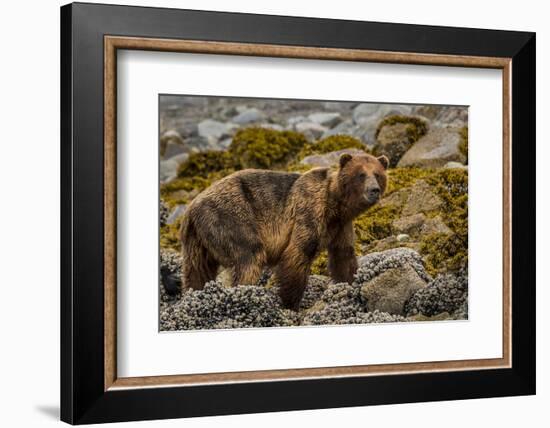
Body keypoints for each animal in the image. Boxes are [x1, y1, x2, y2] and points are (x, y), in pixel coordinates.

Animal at [179, 152, 390, 310]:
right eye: (360, 174)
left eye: (378, 174)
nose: (374, 190)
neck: (335, 205)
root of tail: (191, 208)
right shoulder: (309, 213)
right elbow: (297, 254)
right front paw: (290, 303)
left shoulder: (340, 227)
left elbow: (343, 257)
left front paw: (350, 285)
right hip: (230, 217)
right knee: (250, 257)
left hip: (197, 241)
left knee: (197, 271)